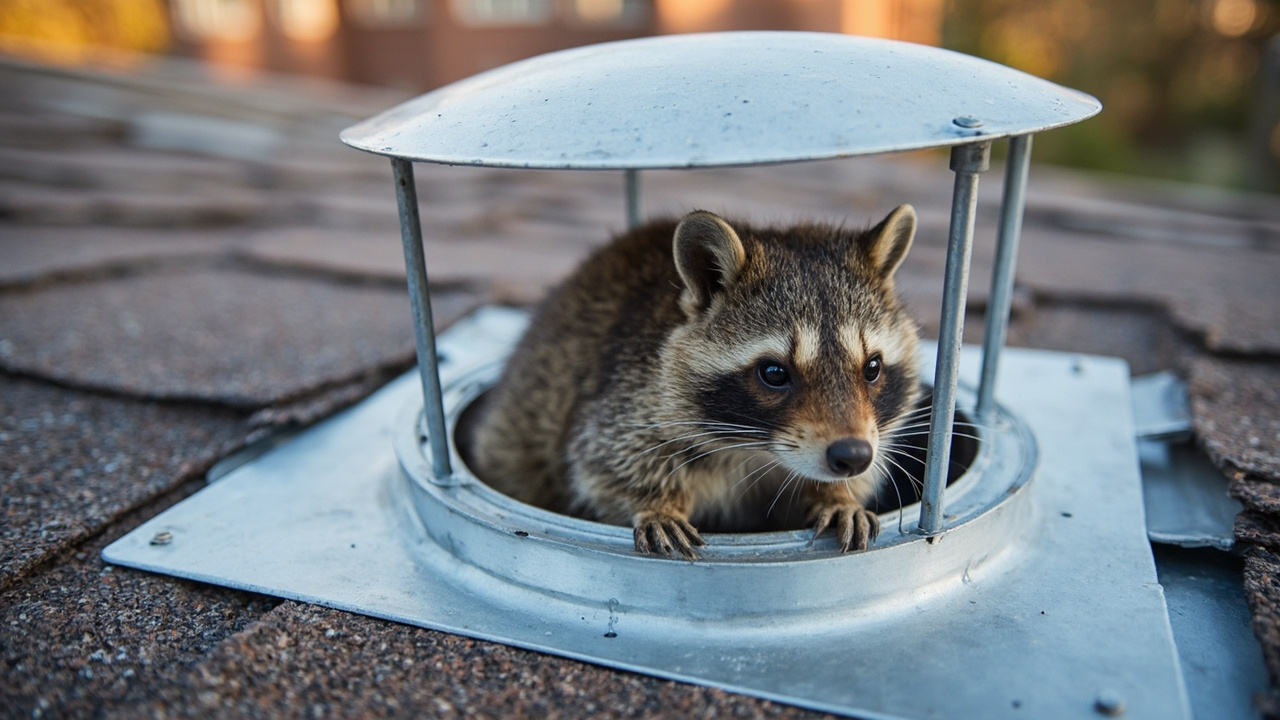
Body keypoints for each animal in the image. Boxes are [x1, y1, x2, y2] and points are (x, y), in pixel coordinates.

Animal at [466, 206, 921, 559]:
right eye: (774, 373)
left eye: (872, 367)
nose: (852, 455)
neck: (759, 450)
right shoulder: (632, 394)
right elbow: (603, 462)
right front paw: (656, 504)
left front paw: (839, 495)